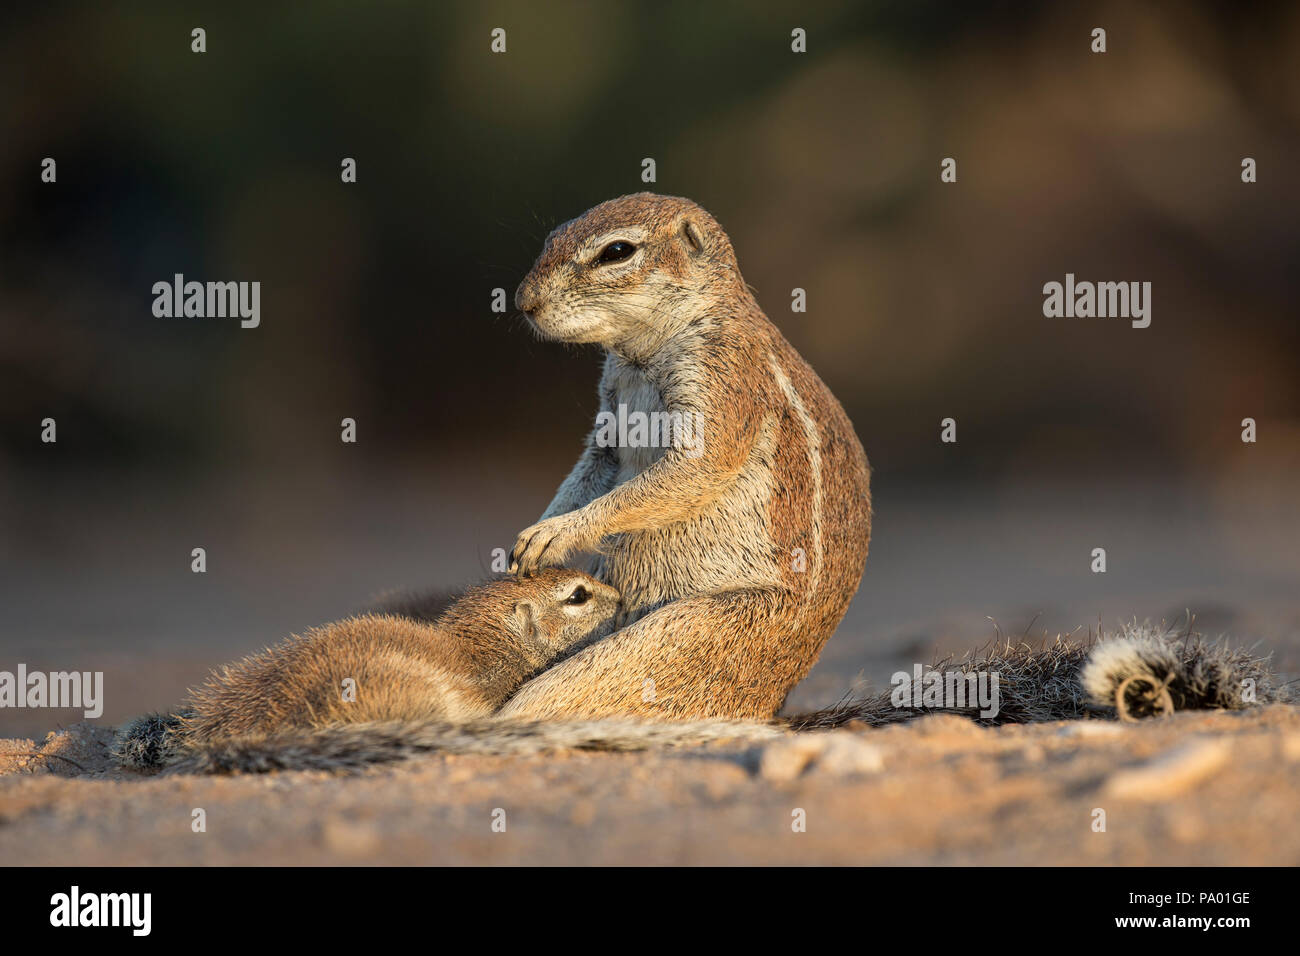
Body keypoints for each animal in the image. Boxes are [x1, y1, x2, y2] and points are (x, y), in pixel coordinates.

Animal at [496, 192, 873, 717]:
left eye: (617, 252)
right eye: (552, 236)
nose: (523, 302)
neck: (639, 353)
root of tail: (771, 703)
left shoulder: (723, 376)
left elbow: (695, 468)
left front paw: (557, 532)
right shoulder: (608, 423)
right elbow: (590, 471)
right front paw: (537, 531)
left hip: (674, 641)